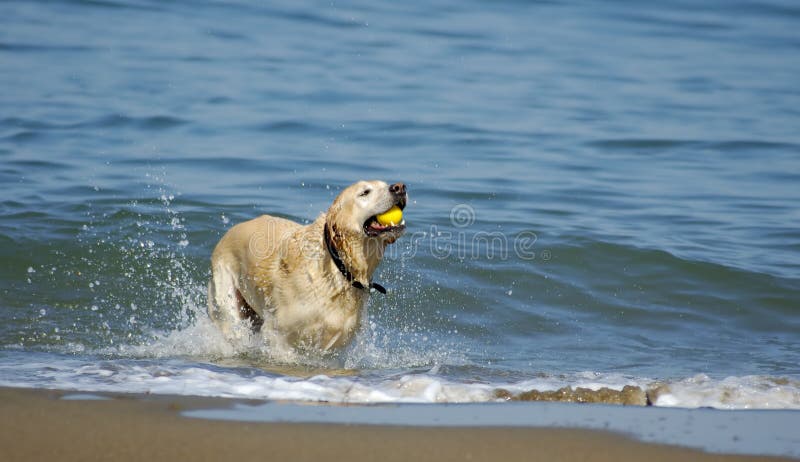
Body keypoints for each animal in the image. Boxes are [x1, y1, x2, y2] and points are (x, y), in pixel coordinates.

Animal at [208, 180, 406, 354]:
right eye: (365, 192)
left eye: (386, 184)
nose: (400, 187)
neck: (338, 267)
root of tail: (228, 232)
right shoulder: (276, 333)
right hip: (227, 299)